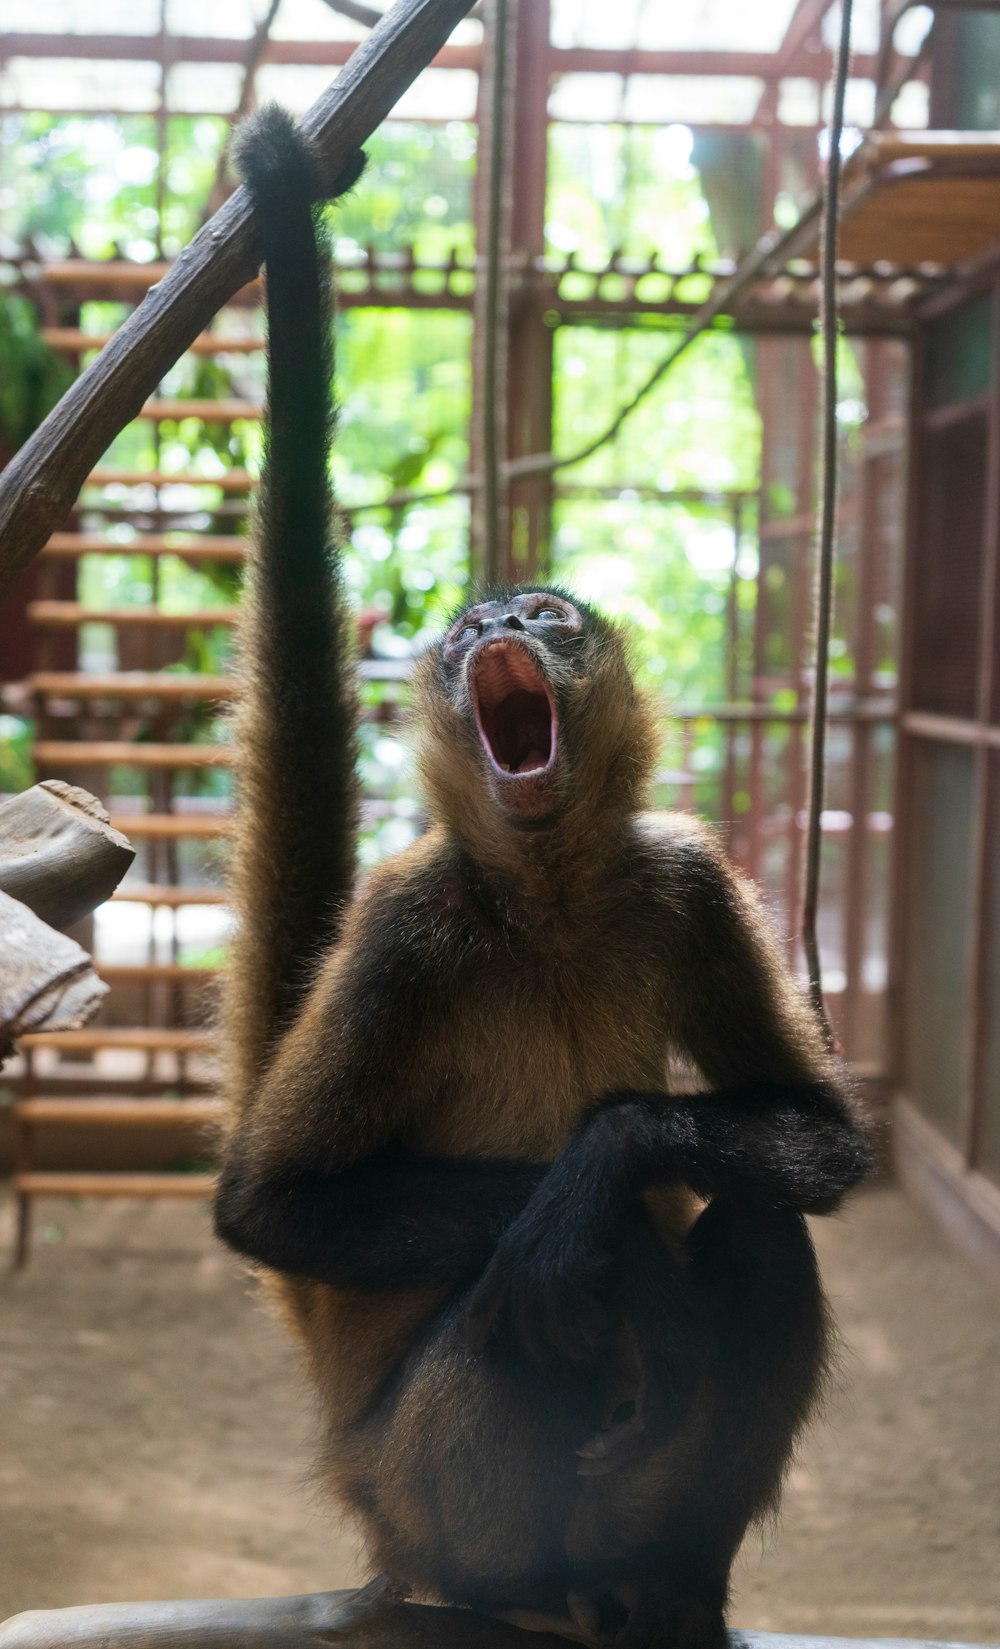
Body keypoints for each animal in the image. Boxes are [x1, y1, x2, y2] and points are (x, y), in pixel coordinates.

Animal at [212, 106, 877, 1649]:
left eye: (547, 620)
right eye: (469, 632)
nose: (497, 629)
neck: (553, 898)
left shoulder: (682, 872)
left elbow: (815, 1138)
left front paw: (613, 1165)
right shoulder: (407, 920)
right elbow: (267, 1207)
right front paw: (613, 1247)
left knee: (763, 1220)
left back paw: (667, 1582)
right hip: (423, 1482)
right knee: (515, 1307)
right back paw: (519, 1576)